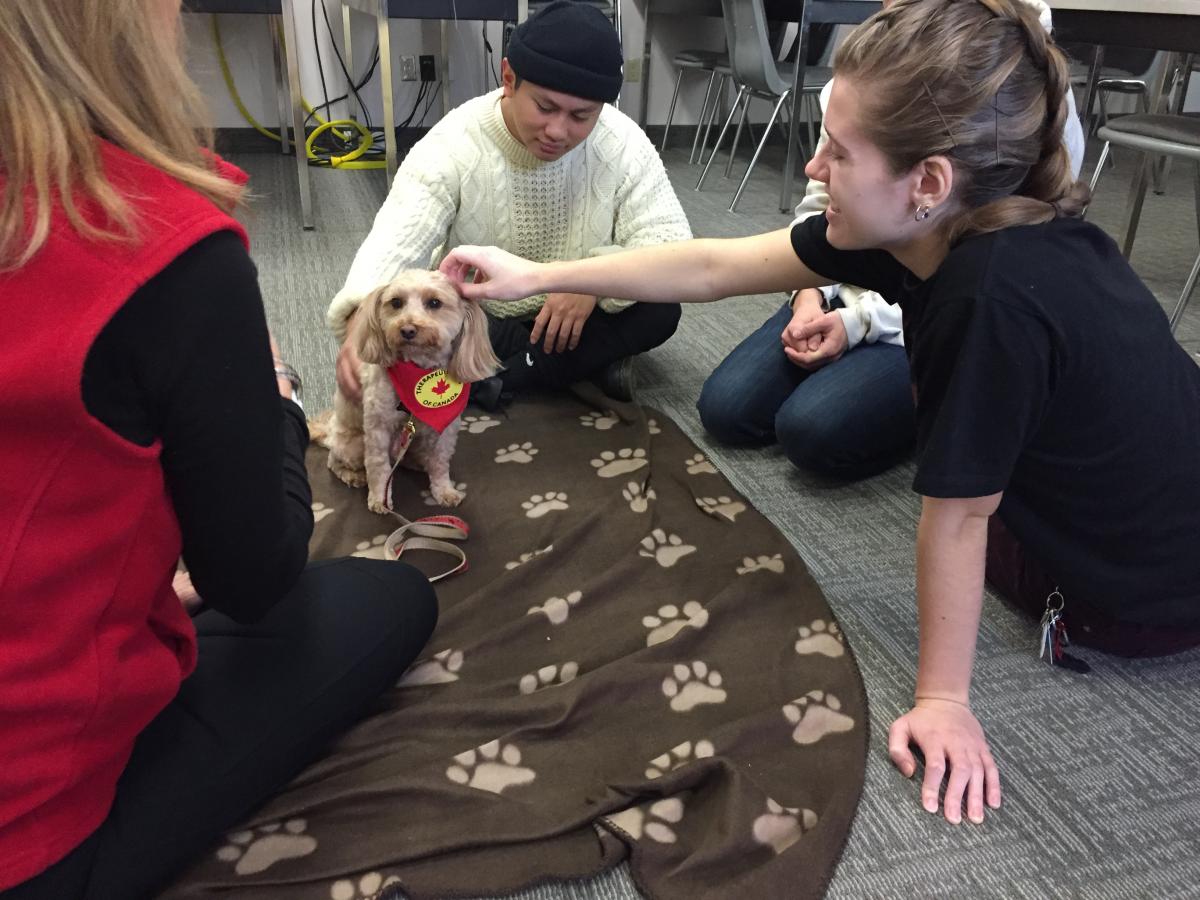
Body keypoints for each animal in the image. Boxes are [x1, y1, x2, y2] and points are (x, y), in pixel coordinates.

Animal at [326, 270, 499, 513]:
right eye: (396, 302)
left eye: (434, 303)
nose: (407, 329)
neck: (418, 370)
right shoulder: (377, 428)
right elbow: (378, 465)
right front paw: (380, 499)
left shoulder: (446, 429)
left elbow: (440, 461)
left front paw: (444, 491)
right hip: (353, 444)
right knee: (334, 462)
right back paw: (353, 475)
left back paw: (417, 462)